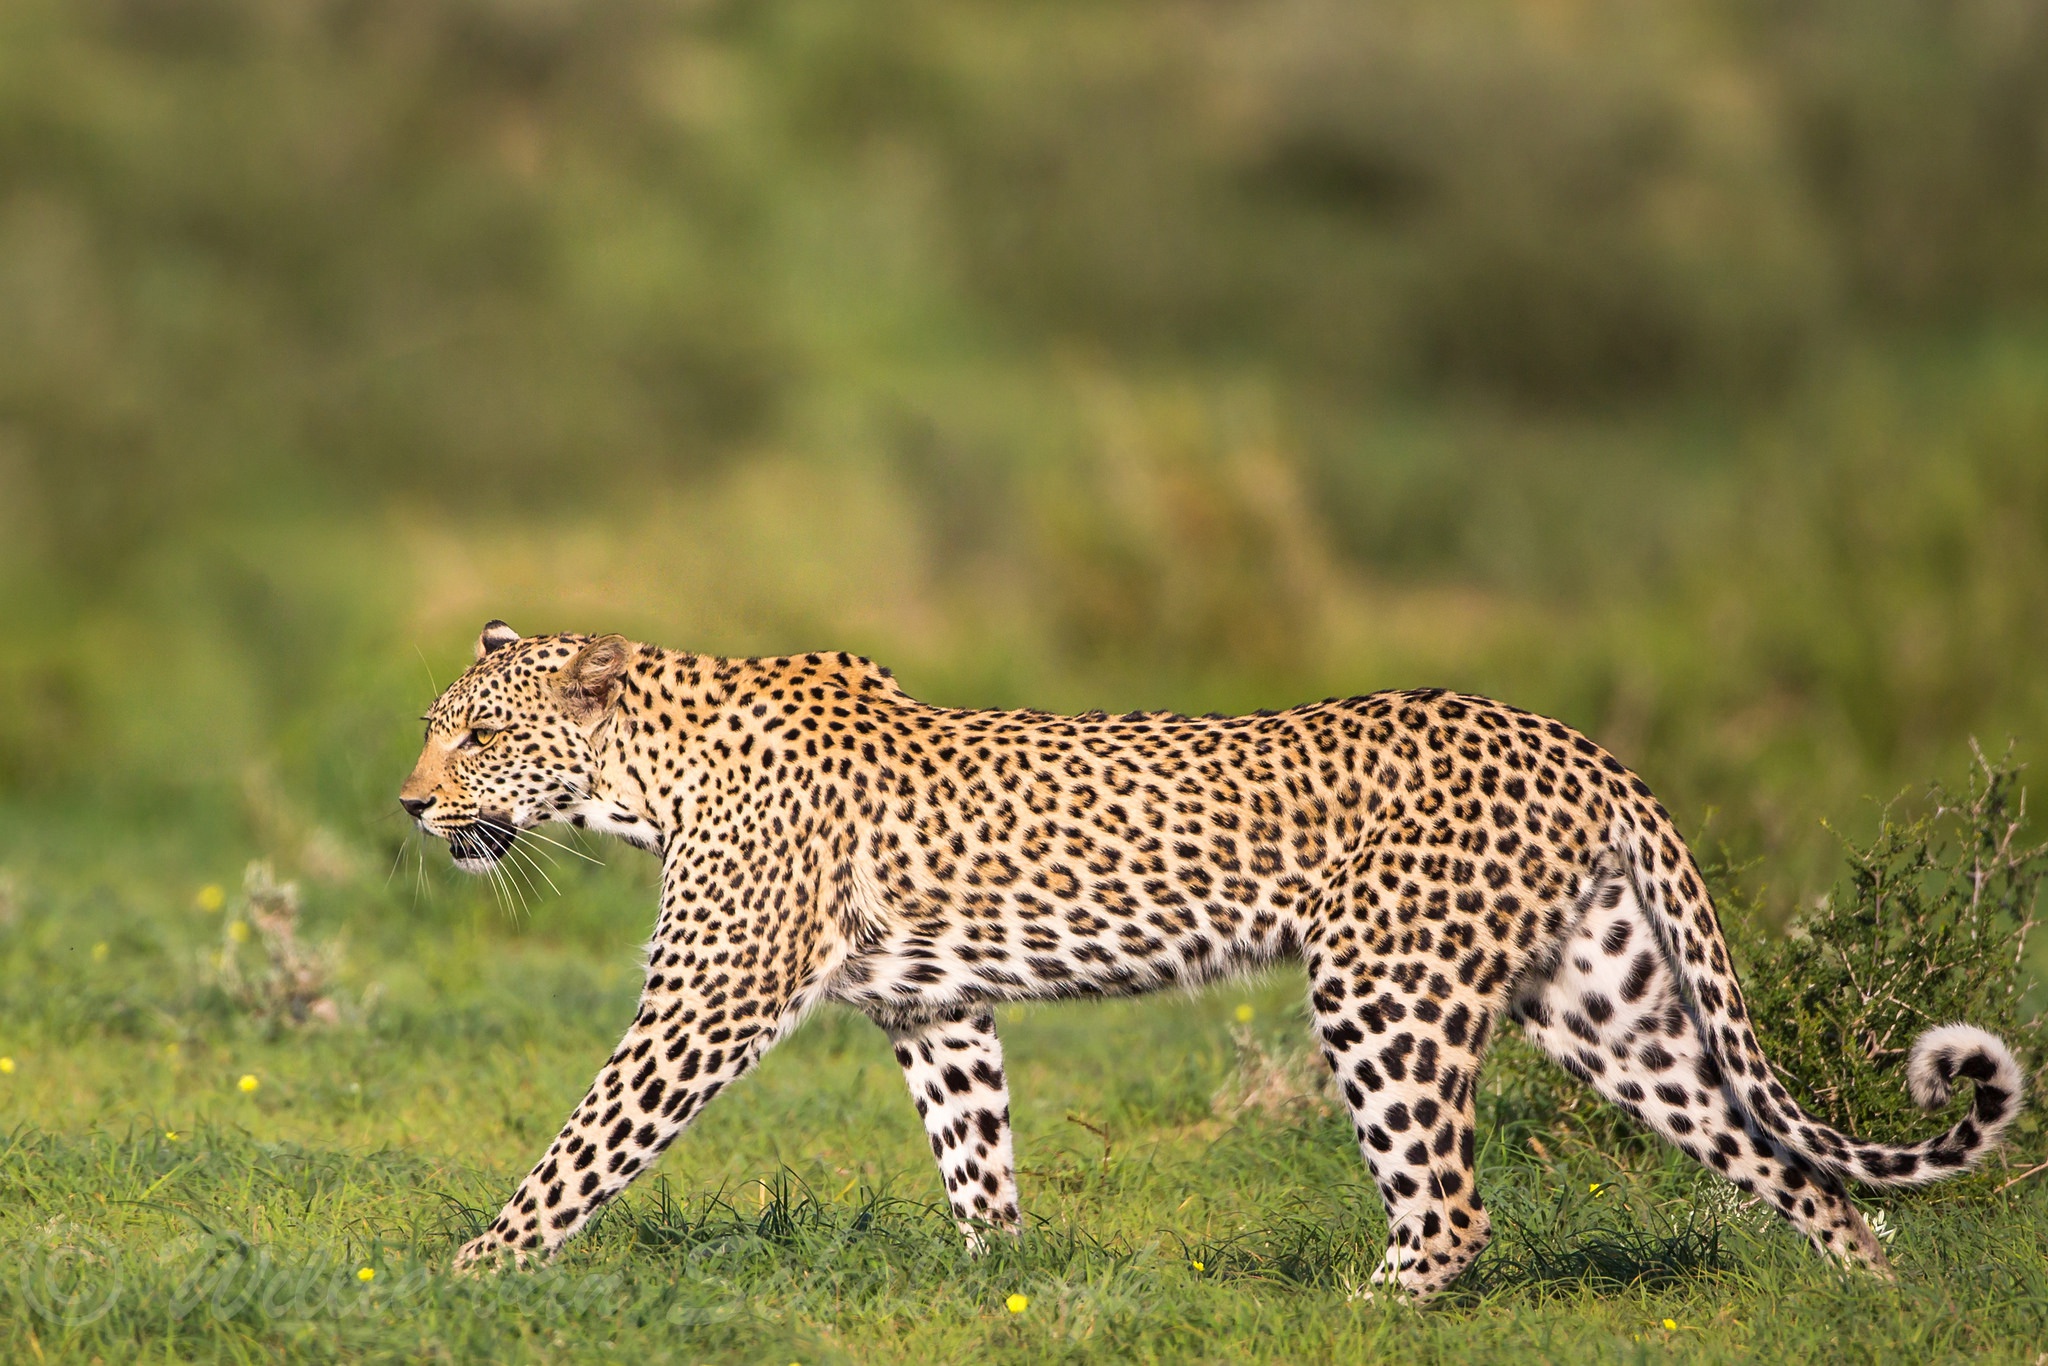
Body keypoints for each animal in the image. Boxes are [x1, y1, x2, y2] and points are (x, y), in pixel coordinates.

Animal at [403, 622, 2031, 1302]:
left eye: (477, 732)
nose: (411, 802)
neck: (641, 776)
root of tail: (1571, 738)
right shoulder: (936, 1002)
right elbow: (975, 1154)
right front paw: (996, 1280)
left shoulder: (713, 995)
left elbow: (585, 1143)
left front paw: (465, 1275)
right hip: (1606, 1001)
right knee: (1788, 1165)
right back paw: (1880, 1303)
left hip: (1382, 987)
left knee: (1452, 1209)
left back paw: (1350, 1314)